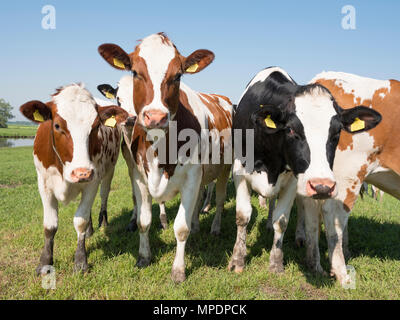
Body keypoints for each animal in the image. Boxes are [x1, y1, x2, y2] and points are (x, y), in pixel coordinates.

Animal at [19, 84, 128, 274]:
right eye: (57, 125)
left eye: (95, 126)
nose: (82, 172)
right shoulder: (44, 184)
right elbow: (50, 226)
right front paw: (45, 261)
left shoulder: (92, 181)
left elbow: (80, 221)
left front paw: (80, 261)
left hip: (109, 170)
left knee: (104, 195)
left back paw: (102, 222)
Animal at [98, 32, 233, 282]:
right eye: (135, 72)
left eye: (177, 75)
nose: (155, 116)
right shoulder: (139, 177)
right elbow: (143, 221)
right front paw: (143, 257)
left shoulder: (191, 177)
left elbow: (180, 227)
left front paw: (178, 270)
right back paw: (198, 225)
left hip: (225, 167)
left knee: (218, 199)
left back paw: (215, 227)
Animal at [228, 67, 382, 276]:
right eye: (291, 130)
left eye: (336, 133)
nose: (322, 187)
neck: (271, 163)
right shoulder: (239, 171)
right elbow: (243, 216)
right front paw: (237, 260)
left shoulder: (293, 180)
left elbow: (281, 220)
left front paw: (276, 264)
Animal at [290, 72, 396, 284]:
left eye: (336, 131)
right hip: (348, 176)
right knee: (333, 217)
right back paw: (342, 273)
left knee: (312, 214)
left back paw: (315, 265)